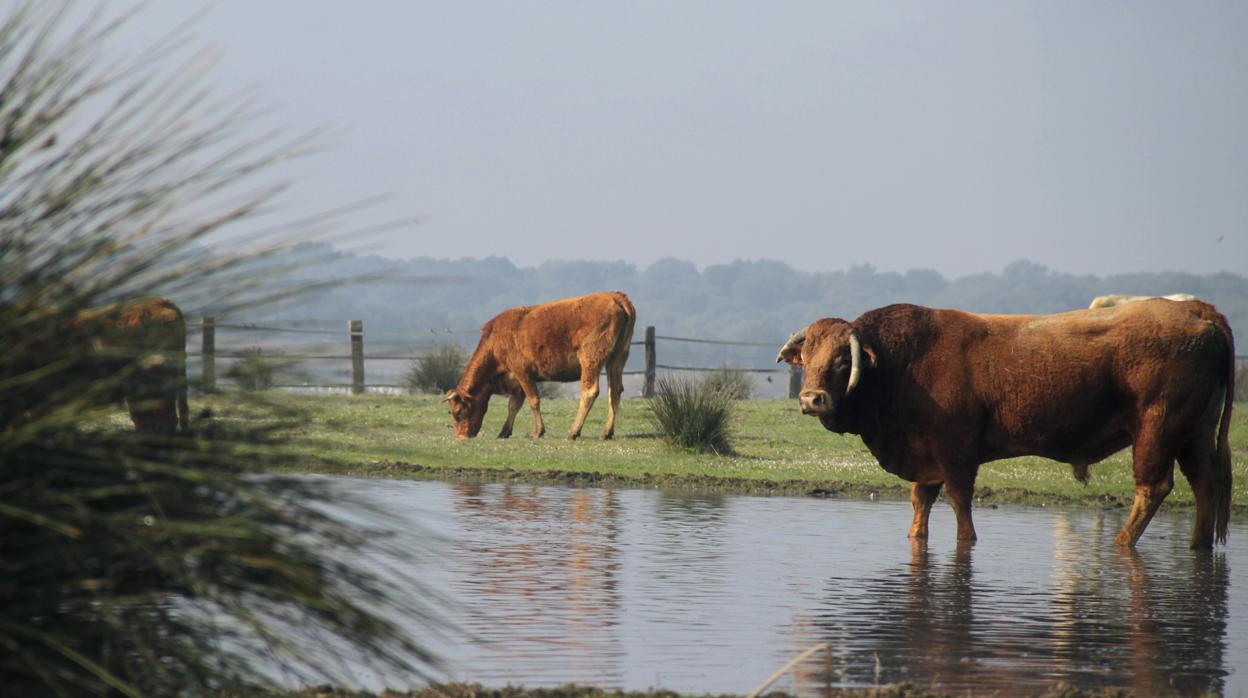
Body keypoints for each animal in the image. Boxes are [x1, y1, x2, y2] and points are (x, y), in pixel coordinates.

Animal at [444, 292, 633, 439]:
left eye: (457, 413)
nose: (461, 437)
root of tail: (614, 295)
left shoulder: (522, 371)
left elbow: (533, 400)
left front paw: (538, 432)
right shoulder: (516, 383)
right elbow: (513, 405)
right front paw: (504, 431)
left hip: (590, 359)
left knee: (590, 392)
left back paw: (573, 432)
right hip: (617, 360)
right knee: (615, 391)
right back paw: (607, 432)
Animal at [773, 297, 1233, 549]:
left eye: (841, 360)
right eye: (807, 358)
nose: (811, 398)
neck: (901, 363)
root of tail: (1196, 309)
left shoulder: (956, 452)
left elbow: (960, 504)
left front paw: (968, 540)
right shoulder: (924, 457)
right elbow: (920, 504)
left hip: (1158, 430)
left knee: (1152, 488)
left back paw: (1122, 543)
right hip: (1194, 434)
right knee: (1204, 485)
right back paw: (1197, 546)